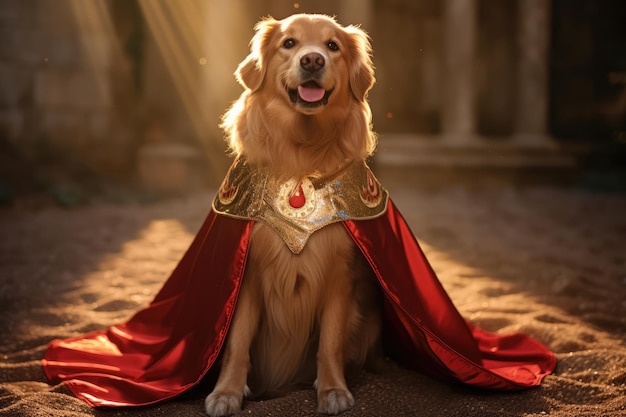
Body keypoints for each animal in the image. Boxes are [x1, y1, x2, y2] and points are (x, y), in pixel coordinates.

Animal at [206, 13, 380, 416]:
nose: (312, 60)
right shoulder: (248, 274)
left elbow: (330, 342)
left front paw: (332, 389)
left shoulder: (339, 274)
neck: (302, 152)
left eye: (332, 45)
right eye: (289, 43)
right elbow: (237, 340)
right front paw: (227, 392)